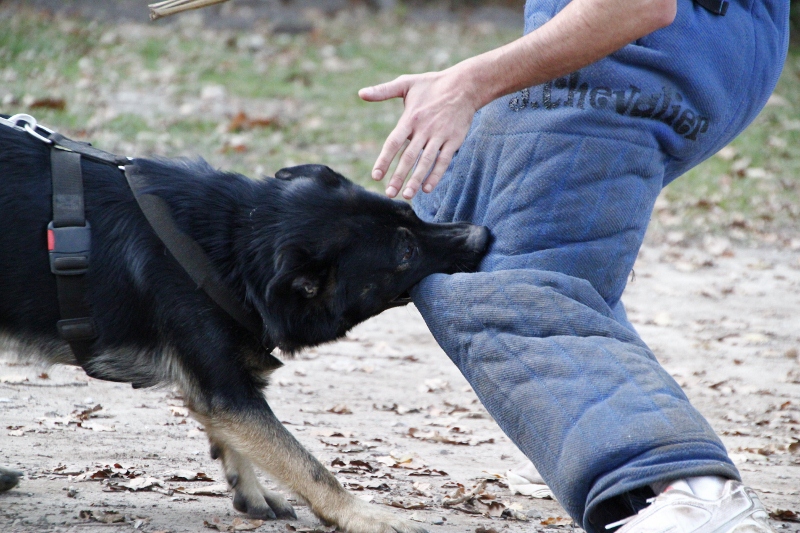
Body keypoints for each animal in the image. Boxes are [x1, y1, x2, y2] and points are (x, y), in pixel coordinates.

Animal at [0, 122, 490, 528]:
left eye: (410, 212)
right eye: (405, 251)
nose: (484, 235)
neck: (234, 244)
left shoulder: (220, 385)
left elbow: (241, 439)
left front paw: (250, 491)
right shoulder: (226, 388)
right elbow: (303, 461)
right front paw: (360, 514)